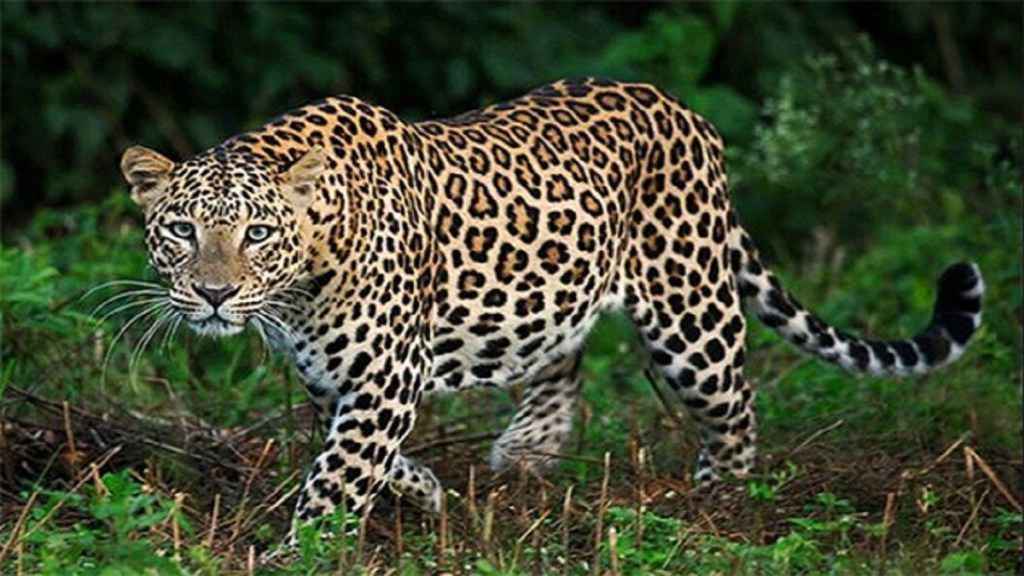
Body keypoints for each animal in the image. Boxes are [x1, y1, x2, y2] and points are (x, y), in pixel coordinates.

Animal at [118, 77, 984, 540]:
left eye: (257, 233)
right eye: (181, 229)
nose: (213, 293)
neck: (301, 279)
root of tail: (684, 112)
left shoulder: (385, 376)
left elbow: (338, 475)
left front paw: (303, 550)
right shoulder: (338, 378)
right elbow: (363, 455)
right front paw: (425, 492)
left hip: (690, 312)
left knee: (736, 402)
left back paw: (722, 501)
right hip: (557, 289)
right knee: (562, 356)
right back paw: (529, 450)